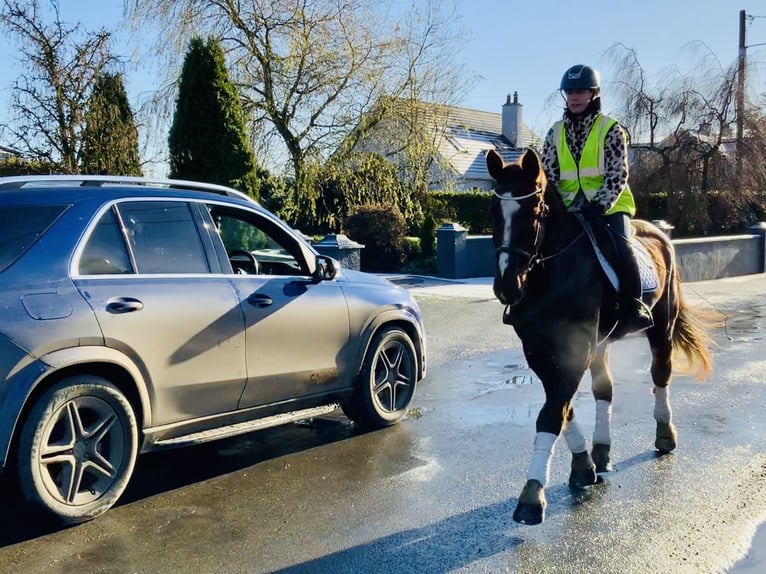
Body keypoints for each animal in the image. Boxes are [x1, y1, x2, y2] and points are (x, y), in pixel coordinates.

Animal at [486, 147, 712, 528]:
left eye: (534, 212)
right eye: (493, 212)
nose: (506, 287)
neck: (549, 275)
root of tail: (660, 233)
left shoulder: (575, 348)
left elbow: (552, 412)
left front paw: (532, 495)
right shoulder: (537, 349)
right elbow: (563, 407)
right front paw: (583, 465)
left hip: (661, 328)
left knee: (660, 375)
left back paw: (665, 435)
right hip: (602, 342)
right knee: (604, 388)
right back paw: (602, 451)